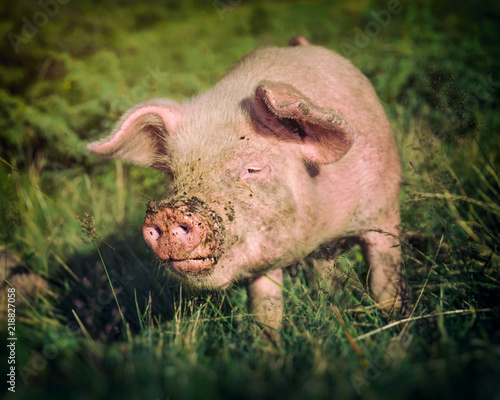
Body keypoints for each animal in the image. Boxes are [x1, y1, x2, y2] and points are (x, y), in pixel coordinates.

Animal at [87, 38, 406, 334]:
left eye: (253, 169)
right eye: (172, 173)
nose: (168, 213)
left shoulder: (384, 211)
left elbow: (386, 285)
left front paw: (395, 329)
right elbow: (266, 314)